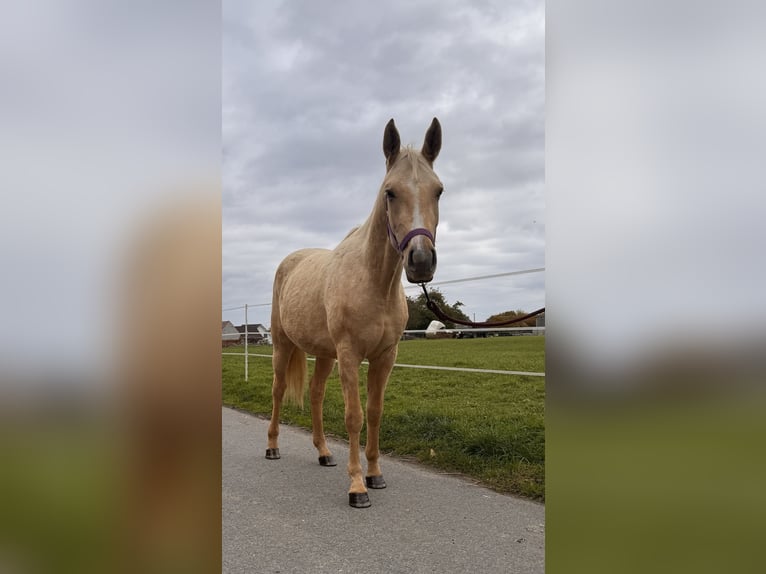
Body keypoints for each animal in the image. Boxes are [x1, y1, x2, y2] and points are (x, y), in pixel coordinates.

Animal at [266, 117, 444, 508]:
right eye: (390, 192)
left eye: (438, 191)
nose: (421, 261)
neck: (373, 282)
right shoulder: (349, 355)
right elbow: (353, 416)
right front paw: (357, 487)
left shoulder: (385, 356)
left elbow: (374, 414)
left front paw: (375, 475)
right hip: (283, 347)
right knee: (278, 390)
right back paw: (271, 447)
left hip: (323, 354)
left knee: (315, 394)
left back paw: (323, 453)